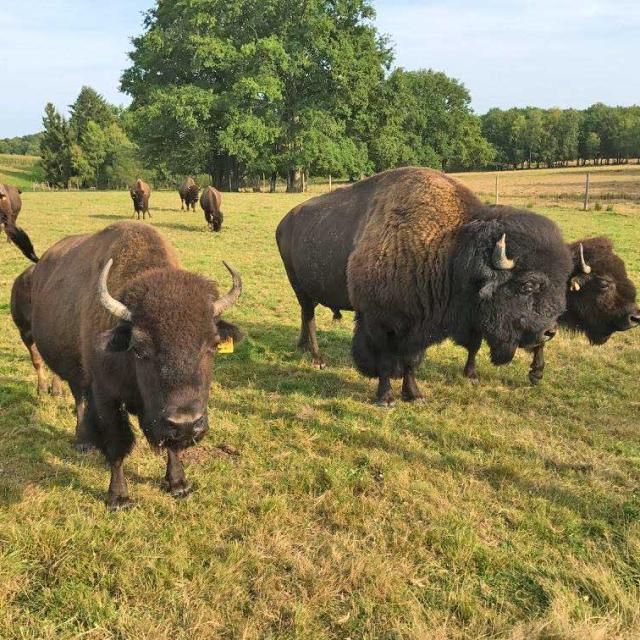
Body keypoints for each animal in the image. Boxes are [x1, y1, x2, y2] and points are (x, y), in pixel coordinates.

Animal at [11, 222, 242, 508]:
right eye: (140, 349)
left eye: (212, 345)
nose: (187, 423)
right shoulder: (107, 398)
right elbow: (117, 445)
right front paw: (119, 497)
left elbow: (171, 445)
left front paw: (178, 484)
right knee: (79, 399)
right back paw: (82, 442)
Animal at [276, 166, 568, 404]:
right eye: (527, 285)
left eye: (562, 282)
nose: (549, 332)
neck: (450, 250)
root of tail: (285, 221)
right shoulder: (378, 322)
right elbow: (384, 361)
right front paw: (386, 398)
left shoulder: (419, 327)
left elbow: (411, 362)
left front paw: (414, 394)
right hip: (299, 287)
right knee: (309, 318)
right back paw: (318, 359)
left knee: (306, 317)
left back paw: (304, 348)